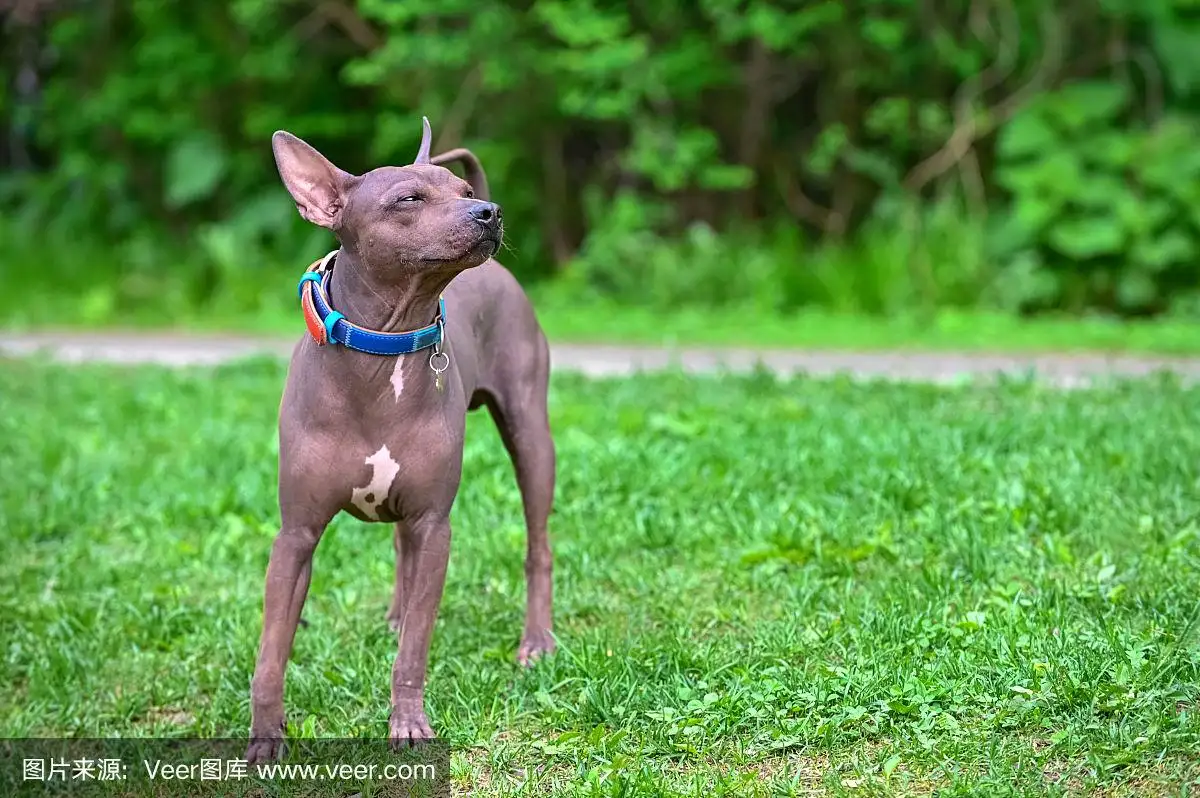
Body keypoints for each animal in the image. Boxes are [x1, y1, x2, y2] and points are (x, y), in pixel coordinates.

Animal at [250, 117, 559, 758]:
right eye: (408, 199)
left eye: (461, 192)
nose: (488, 211)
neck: (383, 349)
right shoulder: (295, 538)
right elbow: (271, 653)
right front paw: (266, 736)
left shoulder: (435, 528)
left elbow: (415, 649)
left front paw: (408, 723)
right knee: (399, 550)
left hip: (531, 438)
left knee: (537, 544)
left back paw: (537, 640)